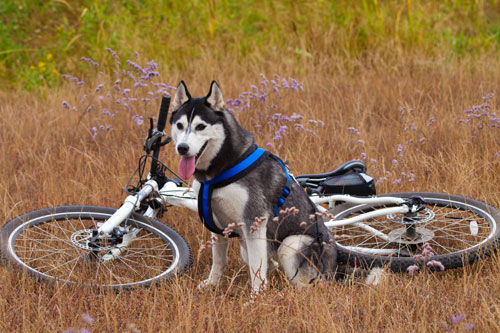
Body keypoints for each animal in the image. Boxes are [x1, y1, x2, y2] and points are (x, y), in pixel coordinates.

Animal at [169, 80, 382, 290]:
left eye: (200, 126)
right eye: (179, 125)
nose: (182, 148)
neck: (218, 172)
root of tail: (334, 264)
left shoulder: (254, 222)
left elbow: (256, 270)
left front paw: (256, 297)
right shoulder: (216, 223)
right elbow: (219, 261)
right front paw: (212, 284)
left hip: (291, 245)